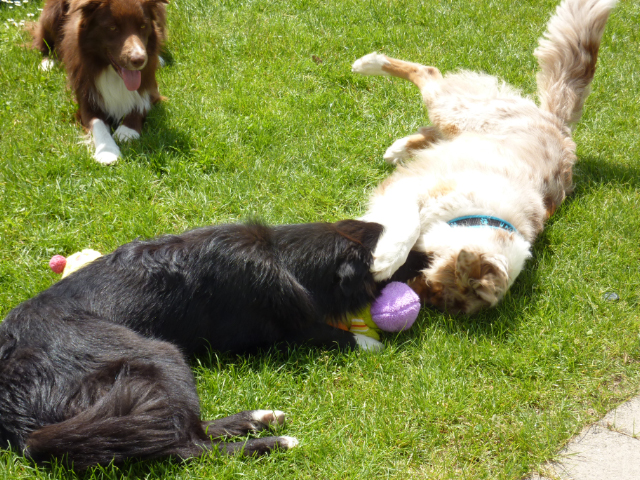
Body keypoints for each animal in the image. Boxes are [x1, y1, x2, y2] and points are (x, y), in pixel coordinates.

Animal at [0, 220, 427, 469]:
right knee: (190, 446)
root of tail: (15, 412)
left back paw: (257, 419)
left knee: (173, 429)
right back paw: (274, 442)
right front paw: (369, 342)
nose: (431, 258)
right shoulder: (287, 328)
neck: (280, 253)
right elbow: (329, 331)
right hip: (159, 354)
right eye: (404, 254)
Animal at [32, 0, 168, 165]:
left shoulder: (150, 87)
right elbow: (97, 123)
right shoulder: (85, 94)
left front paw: (127, 131)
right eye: (113, 28)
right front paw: (107, 151)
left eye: (142, 26)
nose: (139, 60)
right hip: (51, 15)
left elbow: (141, 104)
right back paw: (48, 62)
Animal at [352, 0, 616, 314]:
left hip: (458, 124)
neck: (482, 215)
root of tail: (558, 123)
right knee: (428, 72)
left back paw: (399, 147)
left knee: (429, 124)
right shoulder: (416, 189)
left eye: (432, 291)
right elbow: (408, 228)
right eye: (426, 269)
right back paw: (368, 63)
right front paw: (385, 260)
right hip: (456, 112)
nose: (411, 296)